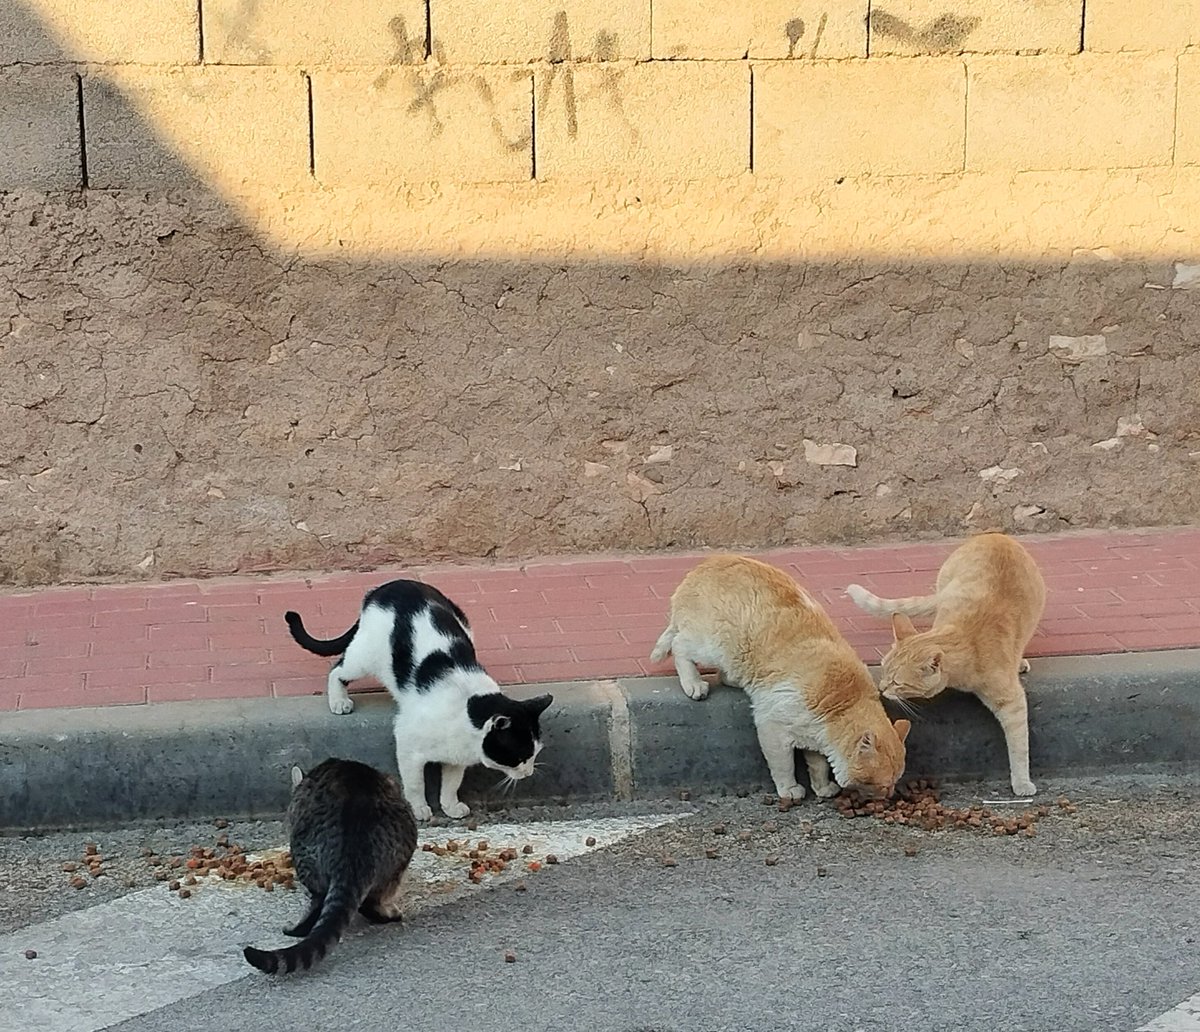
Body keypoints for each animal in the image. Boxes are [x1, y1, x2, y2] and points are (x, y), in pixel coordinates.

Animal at [285, 585, 552, 816]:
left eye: (535, 753)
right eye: (520, 757)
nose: (528, 772)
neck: (467, 709)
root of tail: (386, 587)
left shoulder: (455, 758)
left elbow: (451, 783)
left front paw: (450, 806)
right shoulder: (407, 743)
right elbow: (415, 783)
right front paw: (419, 808)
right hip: (363, 658)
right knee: (338, 669)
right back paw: (339, 701)